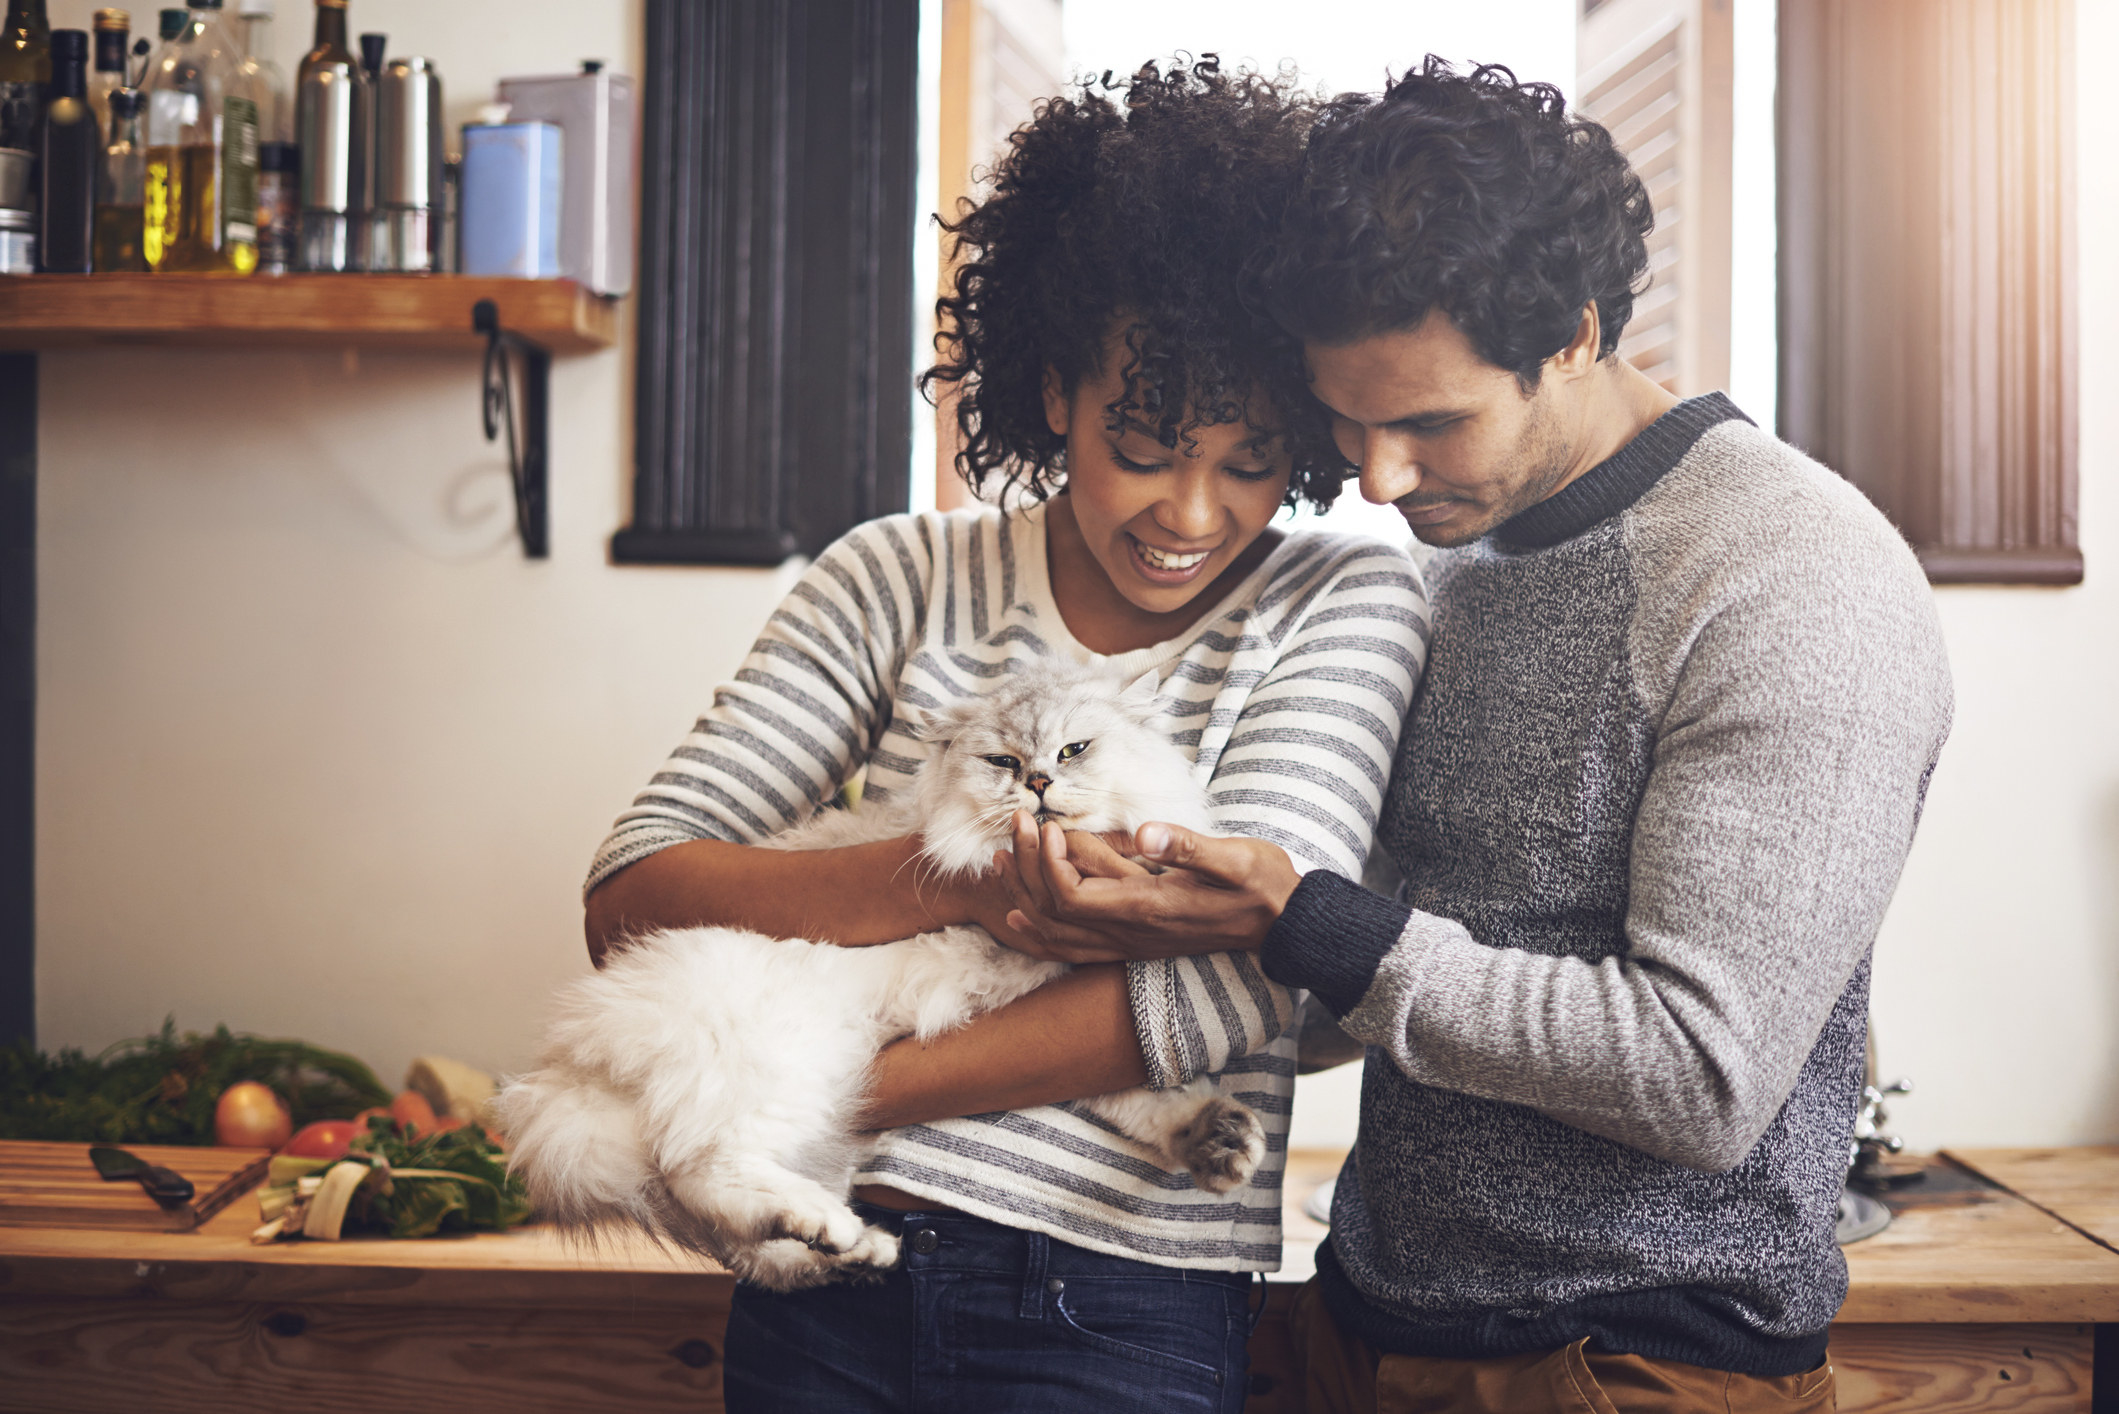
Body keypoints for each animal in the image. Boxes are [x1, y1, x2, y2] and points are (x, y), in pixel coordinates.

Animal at [491, 665, 1254, 1297]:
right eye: (1003, 762)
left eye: (1072, 751)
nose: (1036, 783)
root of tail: (568, 1067)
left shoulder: (1057, 1009)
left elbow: (1139, 1100)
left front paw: (1214, 1140)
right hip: (788, 1064)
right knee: (706, 1174)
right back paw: (828, 1225)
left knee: (753, 1249)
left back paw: (856, 1249)